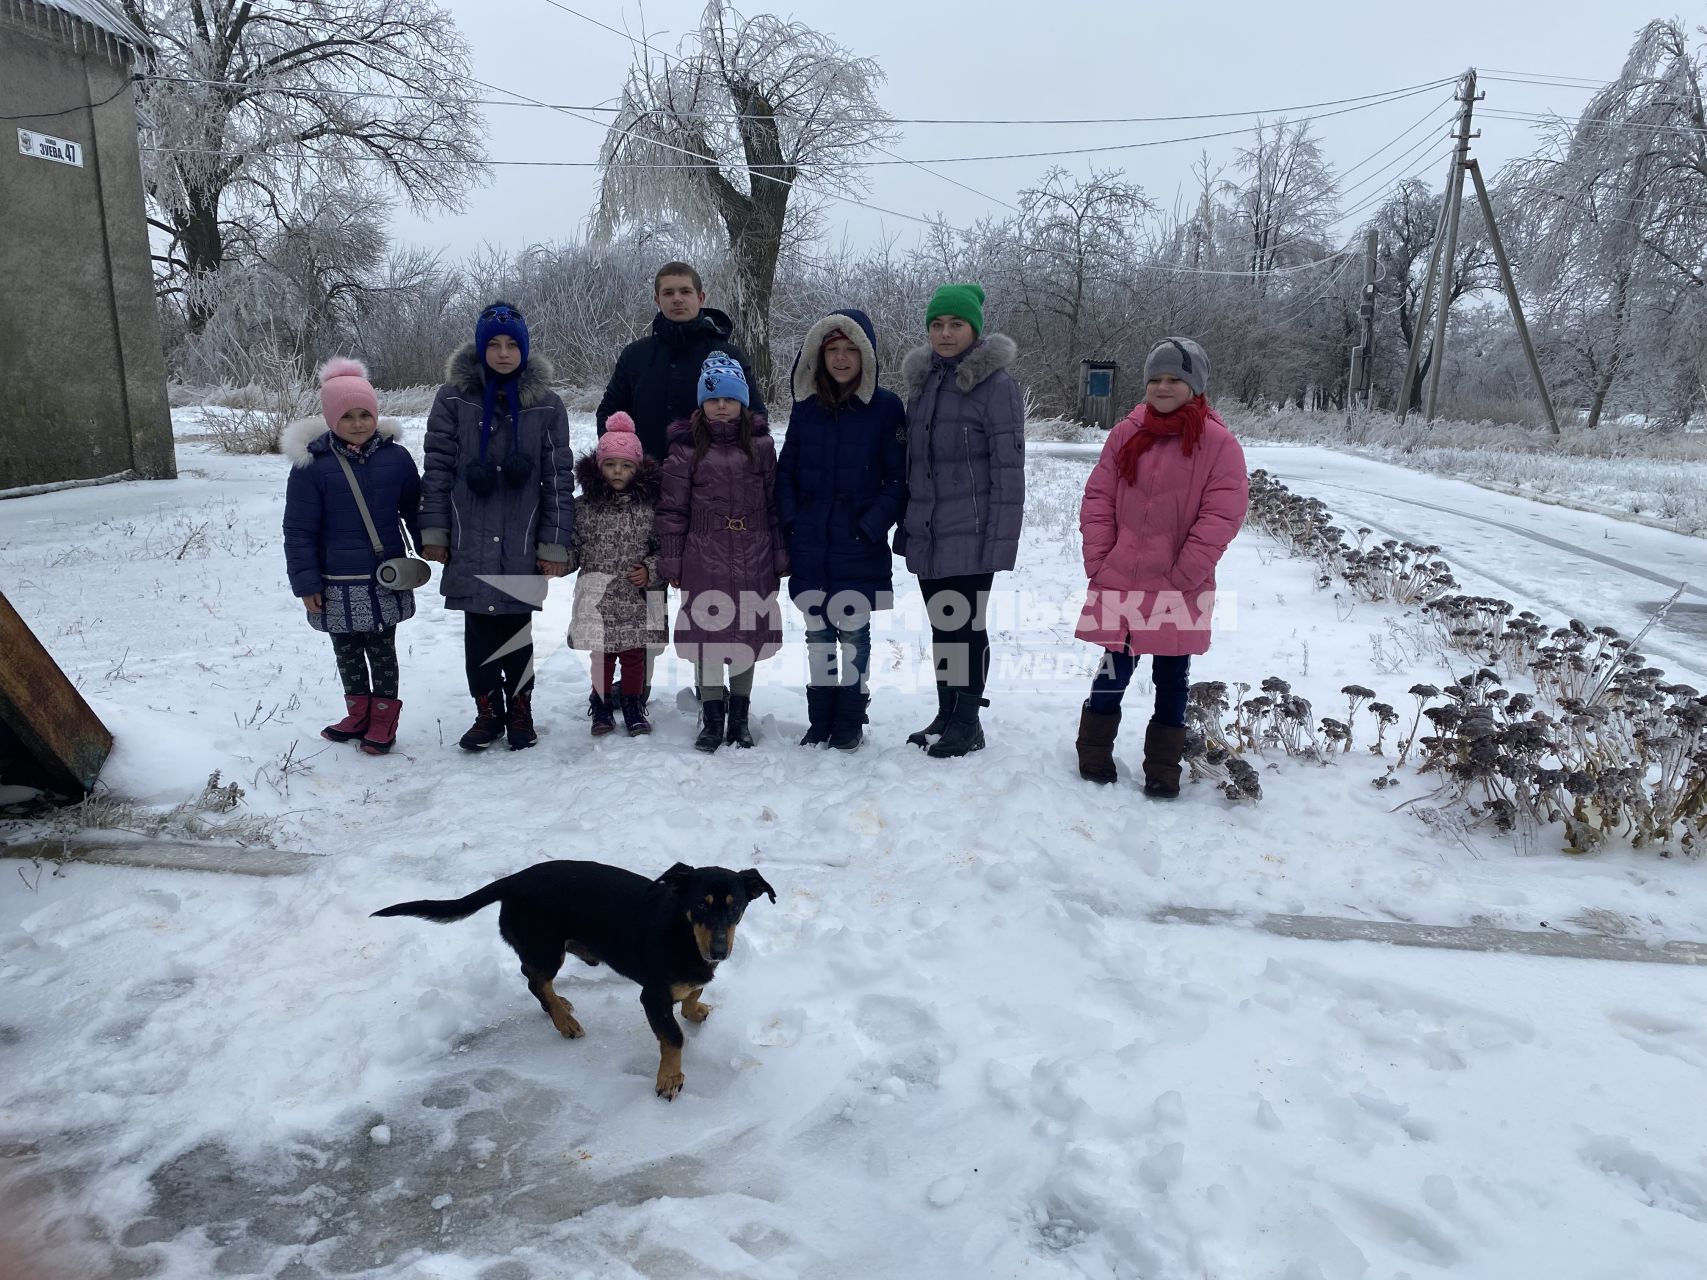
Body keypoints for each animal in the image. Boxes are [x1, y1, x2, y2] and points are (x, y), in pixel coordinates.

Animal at [375, 863, 781, 1105]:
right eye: (700, 905)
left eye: (736, 907)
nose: (719, 951)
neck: (683, 934)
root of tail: (513, 880)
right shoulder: (651, 997)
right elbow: (674, 1037)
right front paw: (670, 1078)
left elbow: (694, 991)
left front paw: (695, 1009)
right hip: (547, 948)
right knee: (533, 981)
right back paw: (564, 1020)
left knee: (532, 978)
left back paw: (560, 1007)